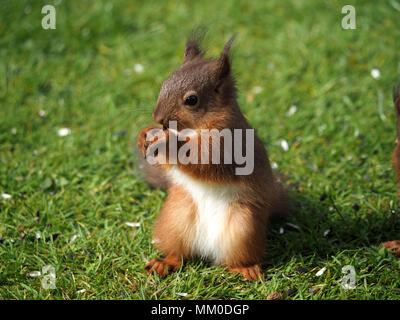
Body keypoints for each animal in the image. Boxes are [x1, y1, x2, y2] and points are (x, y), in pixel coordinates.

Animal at [136, 34, 286, 280]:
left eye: (191, 100)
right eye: (164, 84)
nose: (158, 118)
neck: (193, 130)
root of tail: (206, 249)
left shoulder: (229, 144)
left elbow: (203, 160)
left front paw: (167, 140)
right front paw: (144, 134)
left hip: (244, 227)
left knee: (233, 259)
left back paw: (246, 268)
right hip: (175, 219)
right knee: (179, 254)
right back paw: (163, 263)